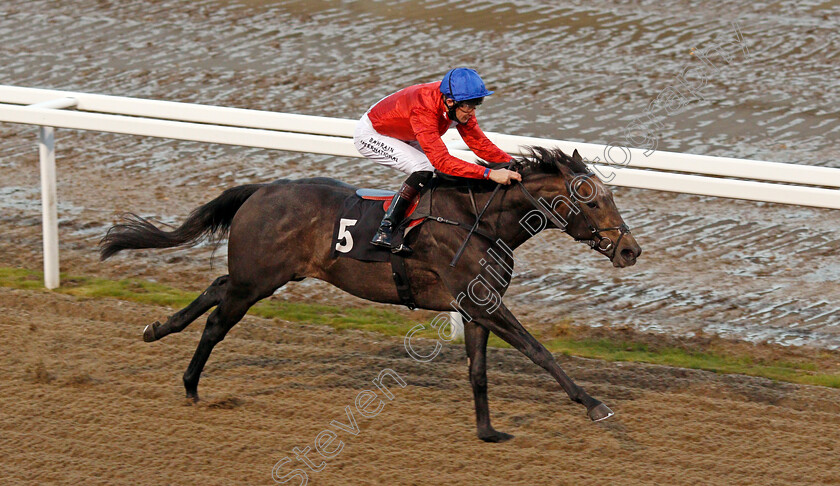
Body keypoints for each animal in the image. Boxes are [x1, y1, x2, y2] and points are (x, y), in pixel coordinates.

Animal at [100, 146, 644, 442]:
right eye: (591, 199)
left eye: (609, 196)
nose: (630, 250)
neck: (479, 221)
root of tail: (262, 190)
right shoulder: (482, 303)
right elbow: (539, 351)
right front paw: (594, 404)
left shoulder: (474, 308)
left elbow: (478, 372)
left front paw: (487, 432)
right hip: (258, 280)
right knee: (217, 322)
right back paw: (191, 384)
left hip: (260, 275)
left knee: (215, 287)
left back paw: (157, 329)